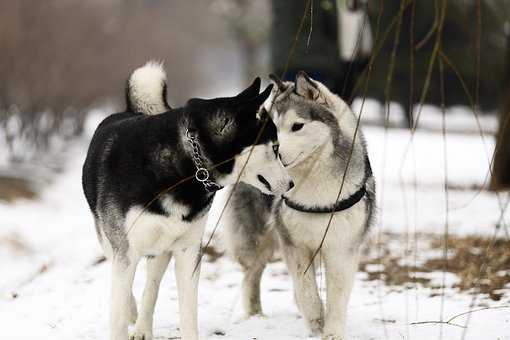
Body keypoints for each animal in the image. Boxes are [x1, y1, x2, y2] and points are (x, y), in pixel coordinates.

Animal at [81, 61, 292, 340]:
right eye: (276, 147)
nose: (291, 184)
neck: (187, 167)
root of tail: (130, 110)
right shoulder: (125, 249)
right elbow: (118, 312)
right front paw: (124, 317)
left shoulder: (188, 249)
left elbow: (187, 311)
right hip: (110, 242)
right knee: (126, 287)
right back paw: (132, 313)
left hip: (161, 249)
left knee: (151, 287)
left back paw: (142, 327)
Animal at [219, 72, 374, 340]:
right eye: (271, 129)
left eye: (297, 126)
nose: (274, 152)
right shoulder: (295, 243)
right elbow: (305, 286)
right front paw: (315, 318)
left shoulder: (342, 247)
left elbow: (337, 293)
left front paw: (332, 331)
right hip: (256, 239)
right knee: (252, 274)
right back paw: (256, 315)